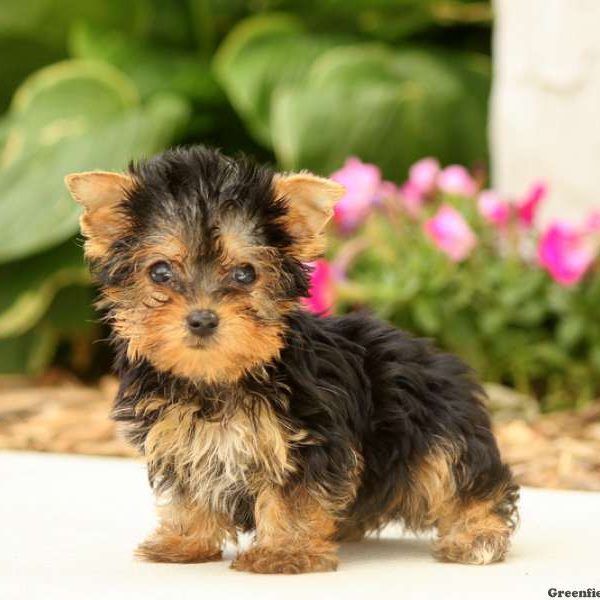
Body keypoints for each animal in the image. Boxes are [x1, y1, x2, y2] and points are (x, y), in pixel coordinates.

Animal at [64, 146, 516, 576]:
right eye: (160, 272)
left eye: (245, 274)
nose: (202, 319)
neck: (219, 379)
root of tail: (440, 360)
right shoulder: (182, 440)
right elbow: (190, 493)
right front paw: (185, 543)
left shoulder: (307, 438)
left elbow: (293, 498)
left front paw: (284, 552)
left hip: (434, 430)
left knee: (463, 479)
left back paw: (477, 535)